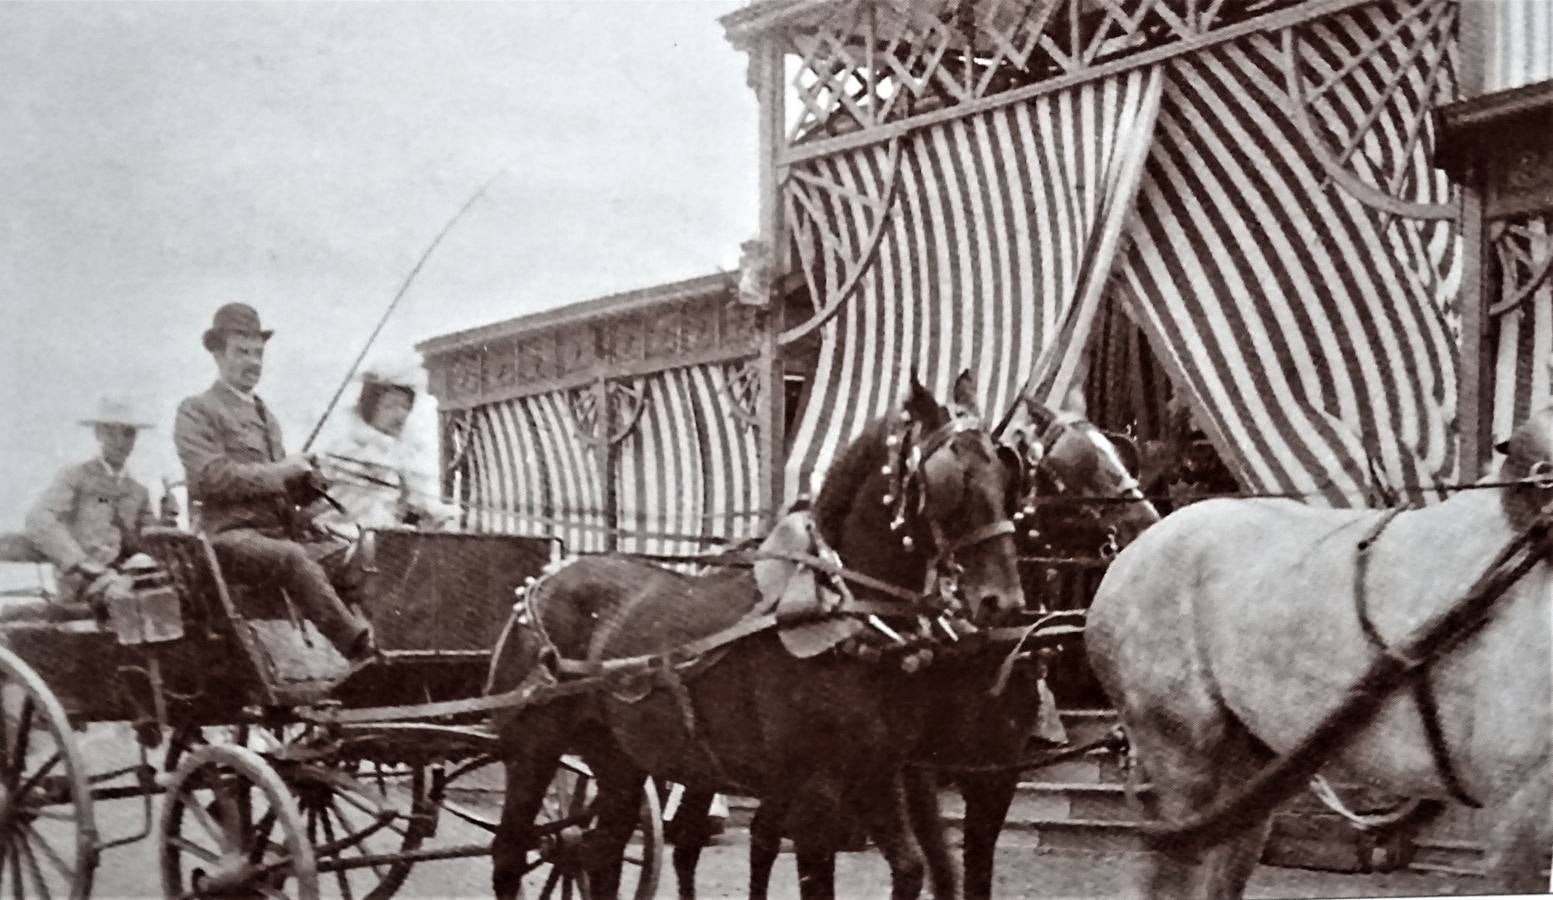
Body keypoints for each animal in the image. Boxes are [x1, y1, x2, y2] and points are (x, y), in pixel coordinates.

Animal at [484, 372, 1031, 900]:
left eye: (1006, 475)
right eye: (950, 480)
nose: (1001, 601)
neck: (839, 608)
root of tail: (541, 583)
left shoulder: (879, 774)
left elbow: (912, 869)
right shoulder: (815, 796)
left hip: (619, 760)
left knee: (602, 855)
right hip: (533, 749)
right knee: (510, 856)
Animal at [667, 400, 1167, 900]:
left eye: (1117, 454)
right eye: (1068, 467)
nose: (1146, 525)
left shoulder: (995, 772)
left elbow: (974, 872)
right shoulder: (913, 771)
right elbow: (939, 867)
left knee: (762, 835)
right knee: (691, 839)